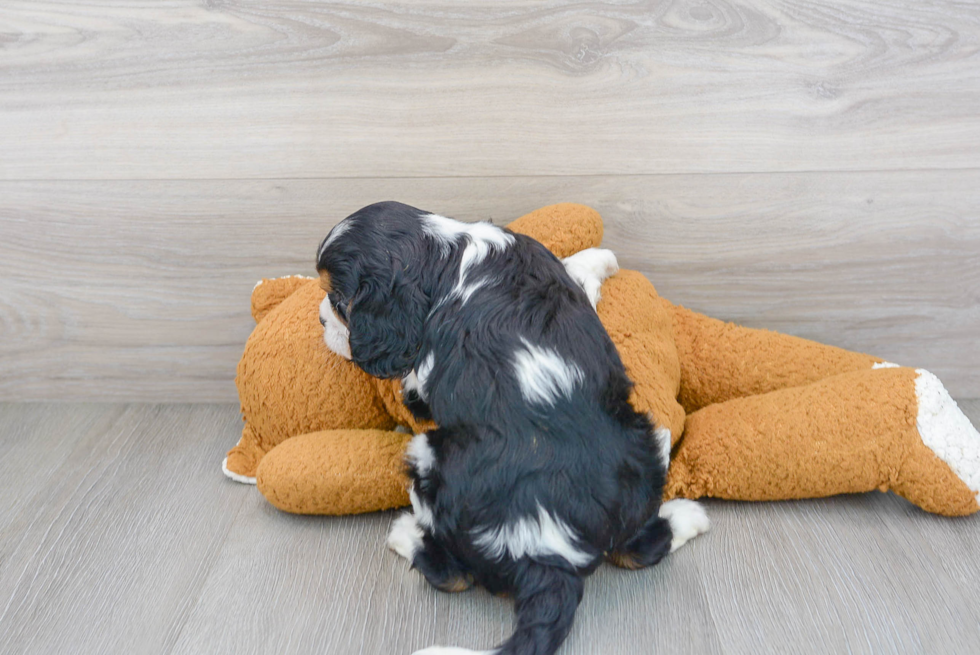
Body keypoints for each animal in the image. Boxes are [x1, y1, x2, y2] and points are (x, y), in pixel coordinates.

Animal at [318, 201, 708, 655]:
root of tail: (547, 552)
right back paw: (688, 516)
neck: (446, 255)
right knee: (639, 548)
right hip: (642, 441)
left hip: (429, 458)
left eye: (339, 301)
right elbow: (576, 275)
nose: (320, 319)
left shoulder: (422, 384)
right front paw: (601, 258)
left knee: (453, 575)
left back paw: (404, 534)